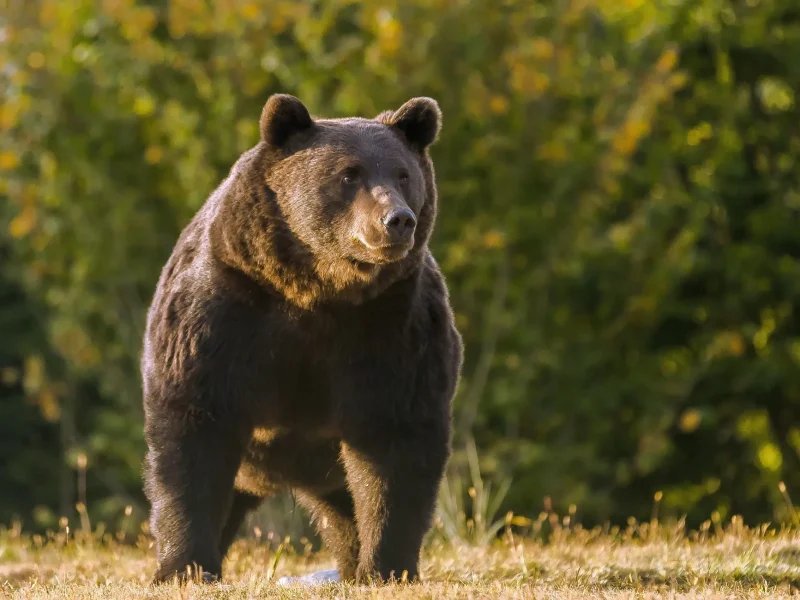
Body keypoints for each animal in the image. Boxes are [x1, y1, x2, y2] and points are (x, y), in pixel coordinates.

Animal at [141, 95, 460, 584]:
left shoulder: (393, 327)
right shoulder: (223, 313)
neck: (318, 289)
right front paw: (184, 567)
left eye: (404, 174)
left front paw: (387, 566)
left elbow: (396, 442)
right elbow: (193, 430)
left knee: (345, 510)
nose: (398, 220)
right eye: (349, 174)